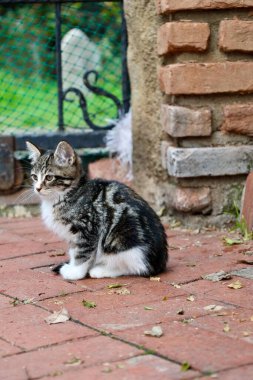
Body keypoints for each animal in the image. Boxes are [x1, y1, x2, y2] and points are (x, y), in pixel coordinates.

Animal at [26, 141, 169, 280]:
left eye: (49, 177)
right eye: (34, 177)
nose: (37, 188)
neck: (67, 194)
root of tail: (159, 263)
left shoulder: (88, 226)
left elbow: (83, 252)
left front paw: (75, 272)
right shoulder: (72, 235)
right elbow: (74, 251)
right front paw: (71, 265)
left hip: (124, 240)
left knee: (134, 267)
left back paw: (101, 270)